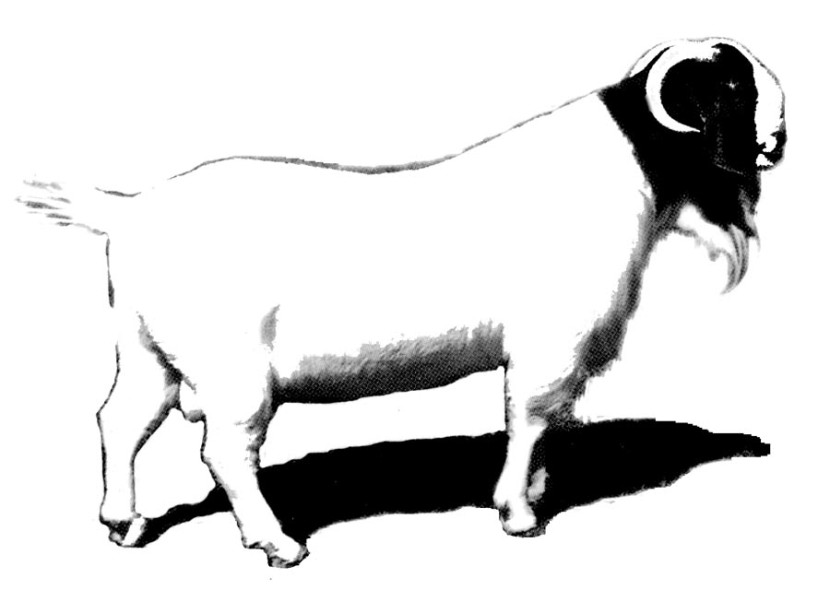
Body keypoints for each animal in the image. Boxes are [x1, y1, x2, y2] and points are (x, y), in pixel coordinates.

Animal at [17, 37, 786, 567]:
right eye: (731, 84)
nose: (776, 141)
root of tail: (131, 209)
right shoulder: (548, 342)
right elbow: (529, 418)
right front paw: (517, 513)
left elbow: (545, 424)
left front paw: (535, 494)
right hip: (231, 368)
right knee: (227, 452)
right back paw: (278, 545)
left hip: (148, 347)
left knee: (121, 420)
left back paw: (124, 524)